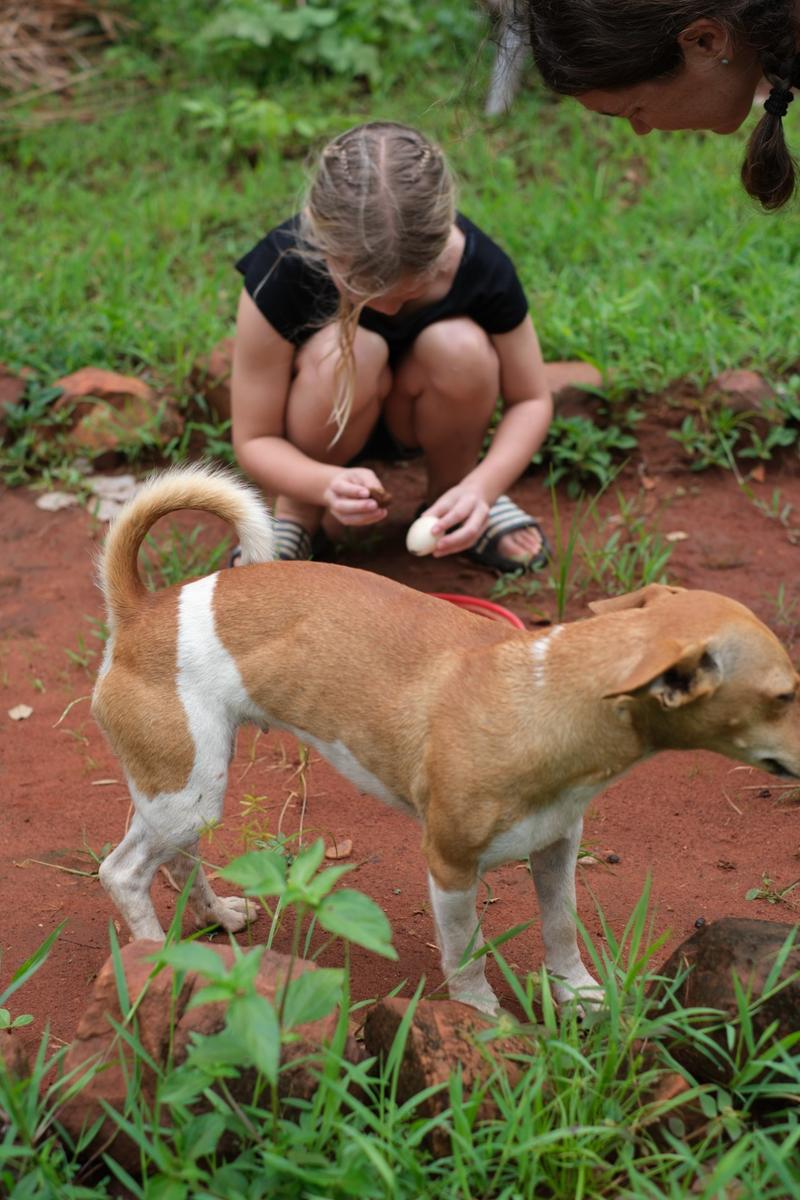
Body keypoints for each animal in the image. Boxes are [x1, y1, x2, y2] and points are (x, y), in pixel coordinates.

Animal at [92, 465, 800, 1012]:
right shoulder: (451, 868)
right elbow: (467, 959)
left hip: (183, 792)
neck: (543, 695)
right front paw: (483, 1020)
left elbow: (561, 928)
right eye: (784, 695)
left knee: (172, 856)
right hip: (187, 792)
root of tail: (143, 608)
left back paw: (216, 919)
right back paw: (153, 958)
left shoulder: (558, 847)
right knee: (122, 872)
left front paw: (577, 994)